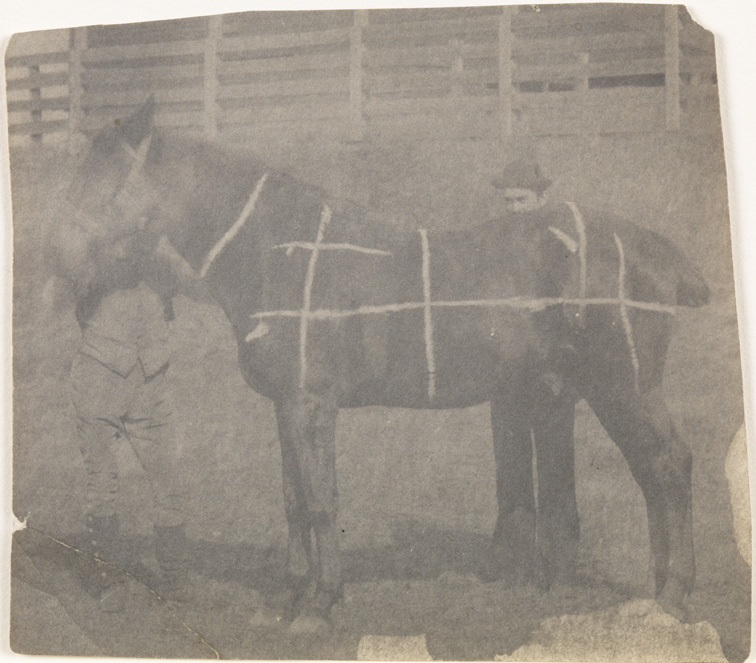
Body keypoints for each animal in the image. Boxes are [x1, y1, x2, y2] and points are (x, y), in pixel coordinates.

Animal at [60, 99, 708, 633]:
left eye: (108, 176)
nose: (62, 255)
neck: (275, 249)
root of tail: (664, 252)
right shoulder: (284, 405)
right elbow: (293, 500)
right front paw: (290, 598)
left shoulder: (312, 403)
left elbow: (321, 500)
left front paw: (321, 605)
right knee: (652, 473)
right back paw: (655, 592)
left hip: (625, 385)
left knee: (670, 466)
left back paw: (675, 596)